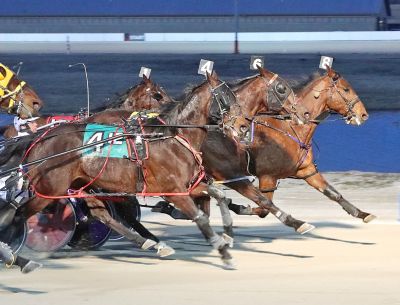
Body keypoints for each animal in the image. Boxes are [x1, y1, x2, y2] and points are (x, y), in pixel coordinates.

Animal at [9, 76, 245, 268]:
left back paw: (149, 242)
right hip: (49, 190)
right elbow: (200, 218)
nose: (243, 126)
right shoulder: (172, 191)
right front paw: (222, 250)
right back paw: (15, 254)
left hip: (81, 184)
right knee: (20, 214)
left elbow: (219, 195)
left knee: (101, 215)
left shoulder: (186, 186)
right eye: (226, 97)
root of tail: (38, 139)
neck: (169, 136)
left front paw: (228, 234)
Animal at [231, 66, 376, 222]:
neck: (289, 129)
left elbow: (333, 193)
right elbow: (264, 207)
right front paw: (235, 206)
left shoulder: (307, 170)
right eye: (346, 89)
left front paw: (362, 213)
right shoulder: (267, 177)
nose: (364, 114)